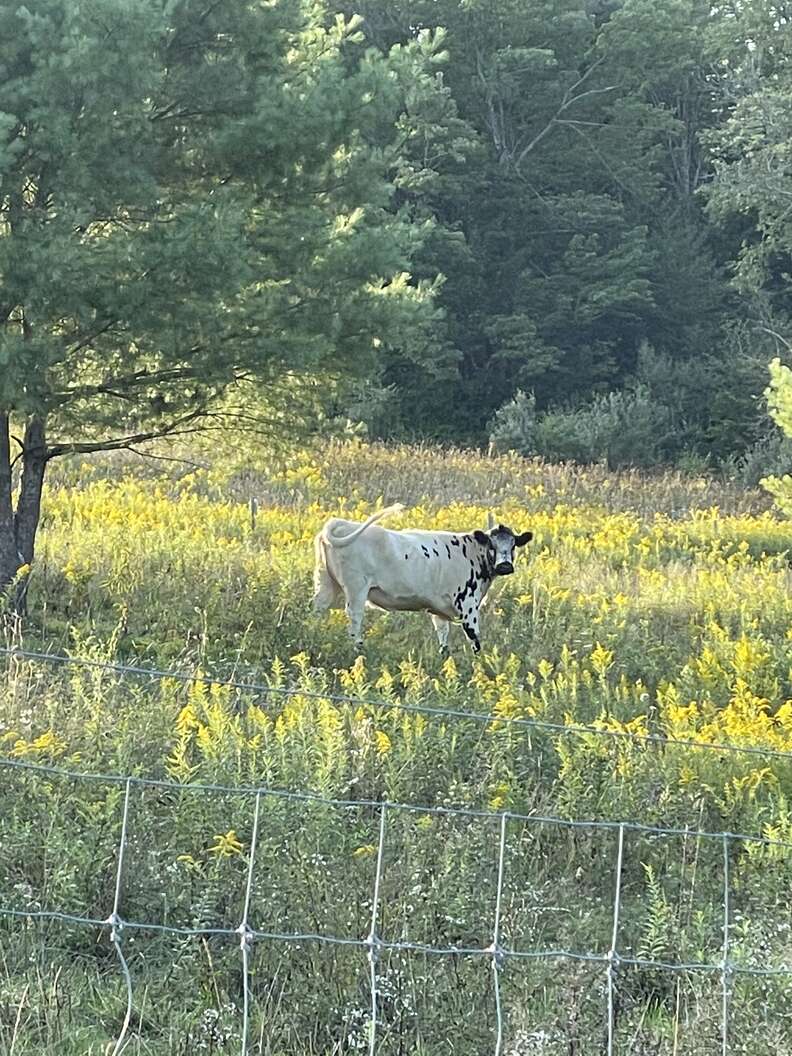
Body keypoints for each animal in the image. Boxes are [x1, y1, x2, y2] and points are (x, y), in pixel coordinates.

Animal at [310, 502, 534, 650]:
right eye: (491, 545)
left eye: (513, 545)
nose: (505, 565)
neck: (471, 551)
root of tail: (340, 523)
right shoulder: (467, 605)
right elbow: (475, 639)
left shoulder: (439, 609)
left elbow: (443, 637)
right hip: (356, 587)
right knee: (355, 616)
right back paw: (358, 647)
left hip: (325, 583)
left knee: (317, 609)